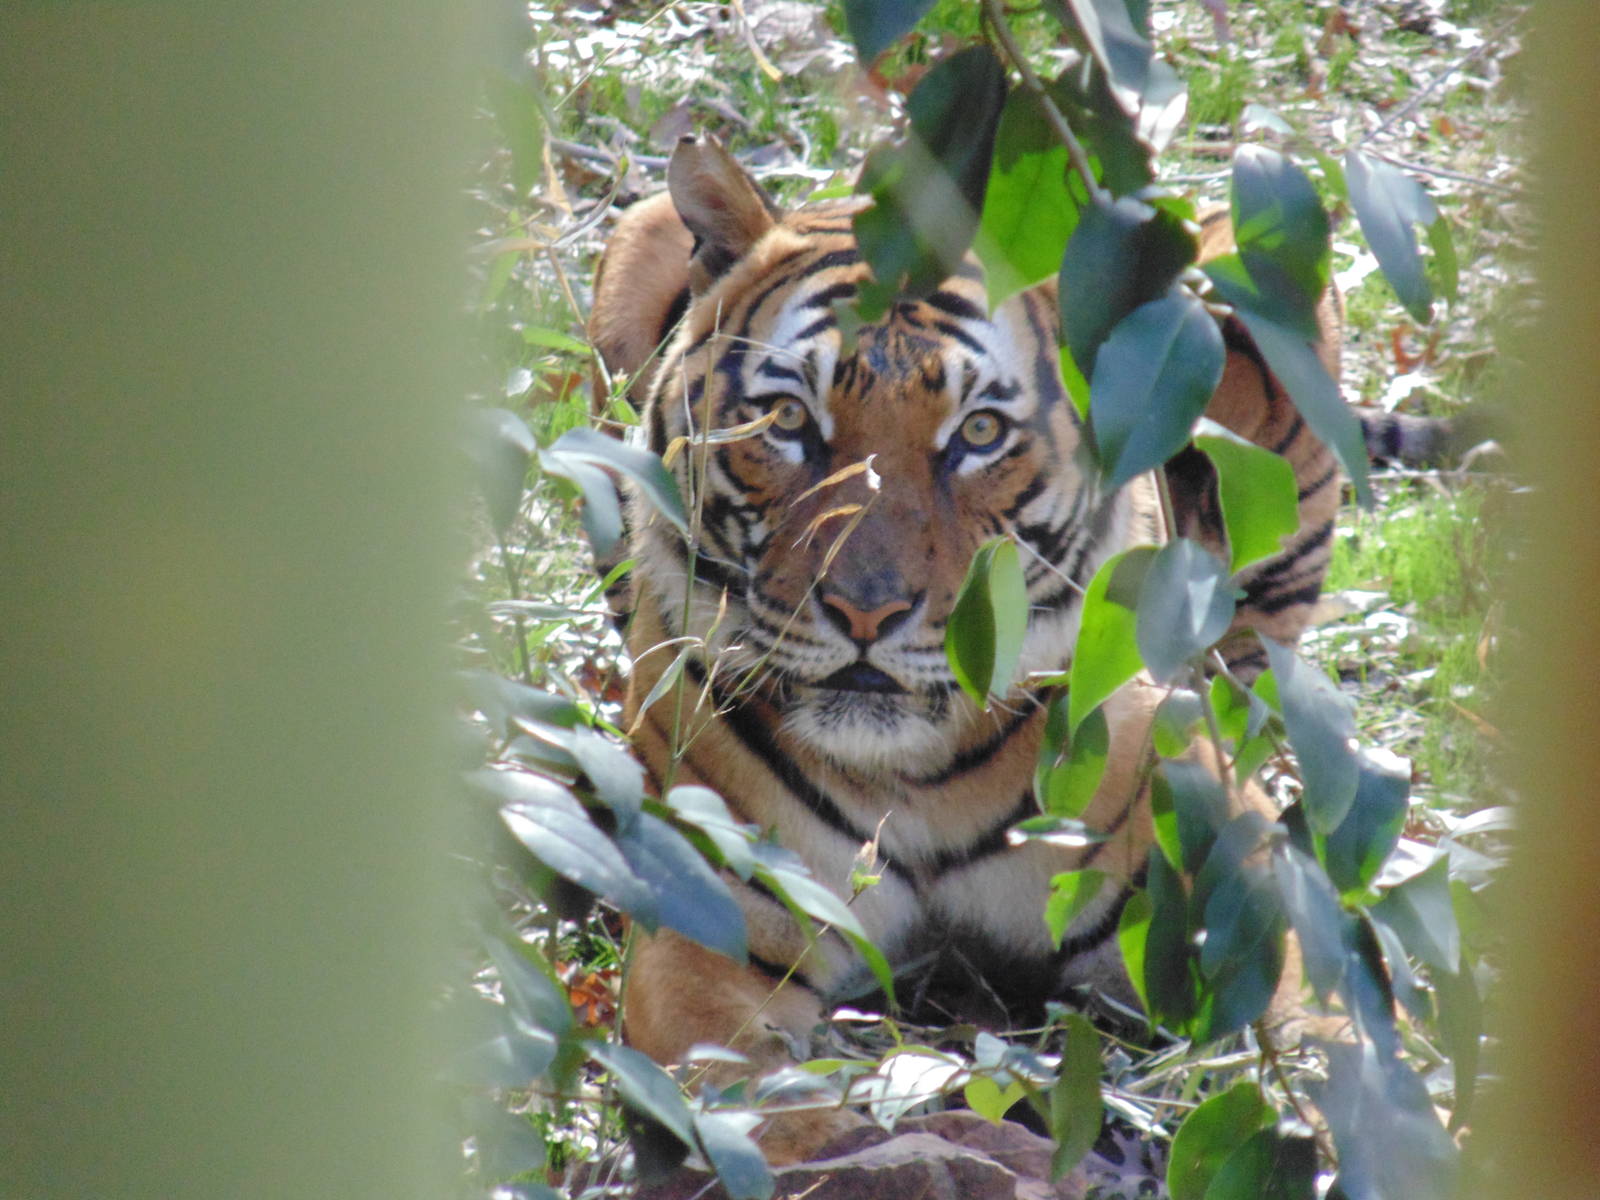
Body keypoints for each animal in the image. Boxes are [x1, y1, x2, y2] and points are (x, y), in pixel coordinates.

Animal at [589, 135, 1344, 1162]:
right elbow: (762, 1109)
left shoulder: (1236, 879)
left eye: (979, 432)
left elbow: (1331, 1045)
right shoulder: (710, 921)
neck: (913, 775)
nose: (867, 611)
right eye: (788, 422)